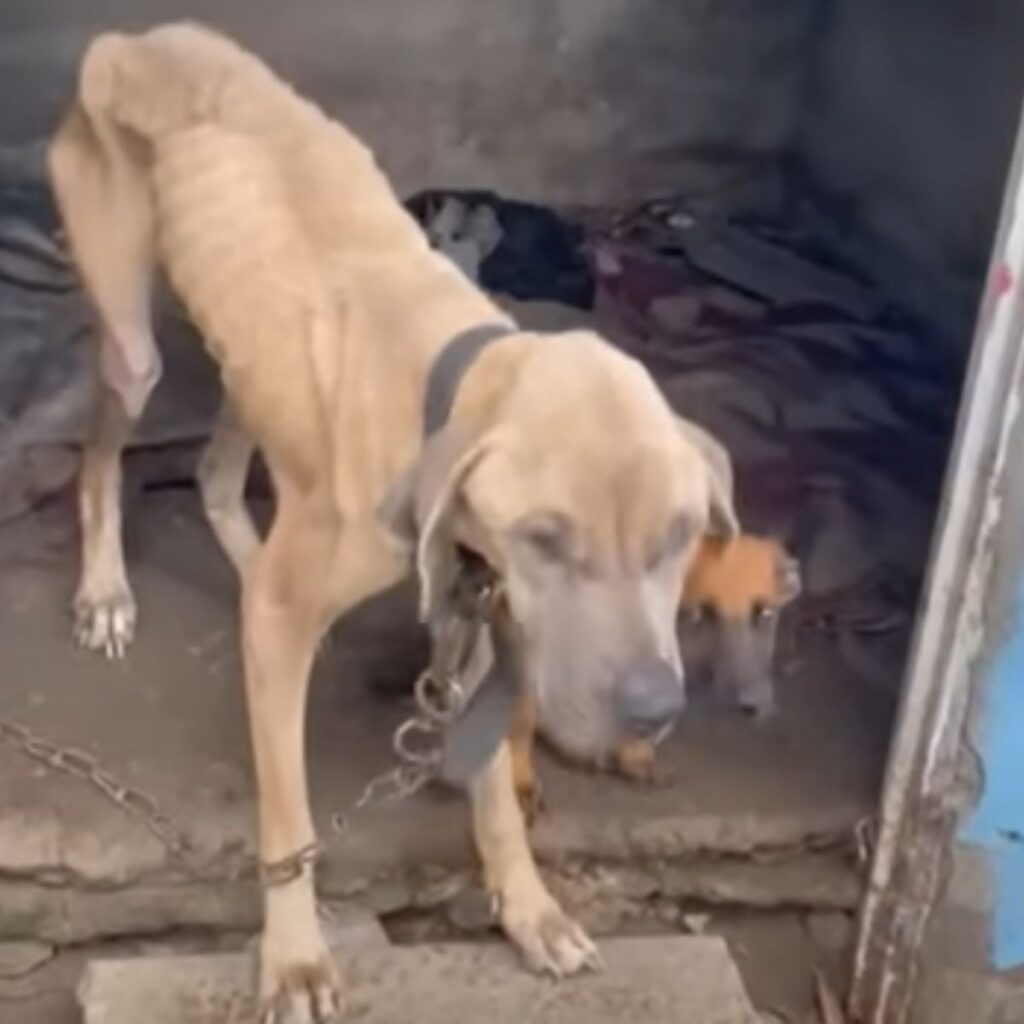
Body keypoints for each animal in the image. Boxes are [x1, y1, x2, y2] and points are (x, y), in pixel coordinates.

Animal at [48, 22, 737, 1015]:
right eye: (546, 539)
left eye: (678, 536)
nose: (656, 709)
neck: (449, 382)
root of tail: (142, 37)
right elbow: (289, 818)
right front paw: (295, 957)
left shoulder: (483, 623)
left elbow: (493, 789)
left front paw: (528, 908)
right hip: (134, 348)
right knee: (105, 460)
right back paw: (106, 588)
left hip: (255, 359)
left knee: (220, 475)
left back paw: (244, 555)